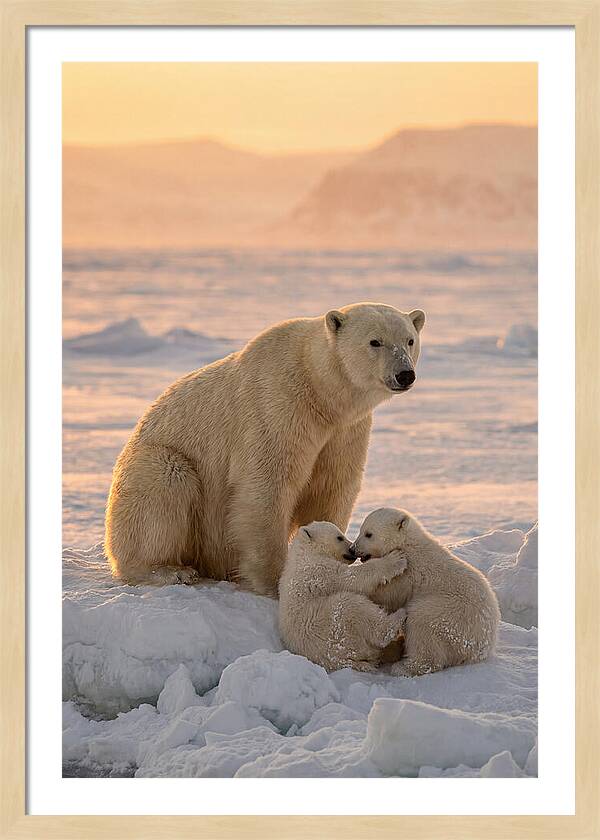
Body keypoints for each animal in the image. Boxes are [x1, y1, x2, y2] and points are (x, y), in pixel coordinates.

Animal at [105, 302, 425, 595]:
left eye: (409, 340)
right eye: (375, 341)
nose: (404, 374)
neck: (320, 391)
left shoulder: (345, 431)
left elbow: (331, 485)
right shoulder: (277, 406)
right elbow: (267, 484)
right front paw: (275, 580)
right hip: (154, 462)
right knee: (165, 484)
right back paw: (170, 570)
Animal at [278, 521, 408, 673]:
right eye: (339, 537)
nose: (352, 549)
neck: (305, 552)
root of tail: (339, 661)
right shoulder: (319, 570)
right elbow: (352, 578)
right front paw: (396, 559)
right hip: (332, 628)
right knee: (352, 607)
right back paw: (399, 616)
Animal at [350, 508, 500, 676]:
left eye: (368, 534)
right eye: (361, 530)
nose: (352, 549)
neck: (407, 544)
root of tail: (481, 649)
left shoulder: (408, 574)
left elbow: (388, 594)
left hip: (451, 616)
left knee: (421, 622)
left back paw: (403, 667)